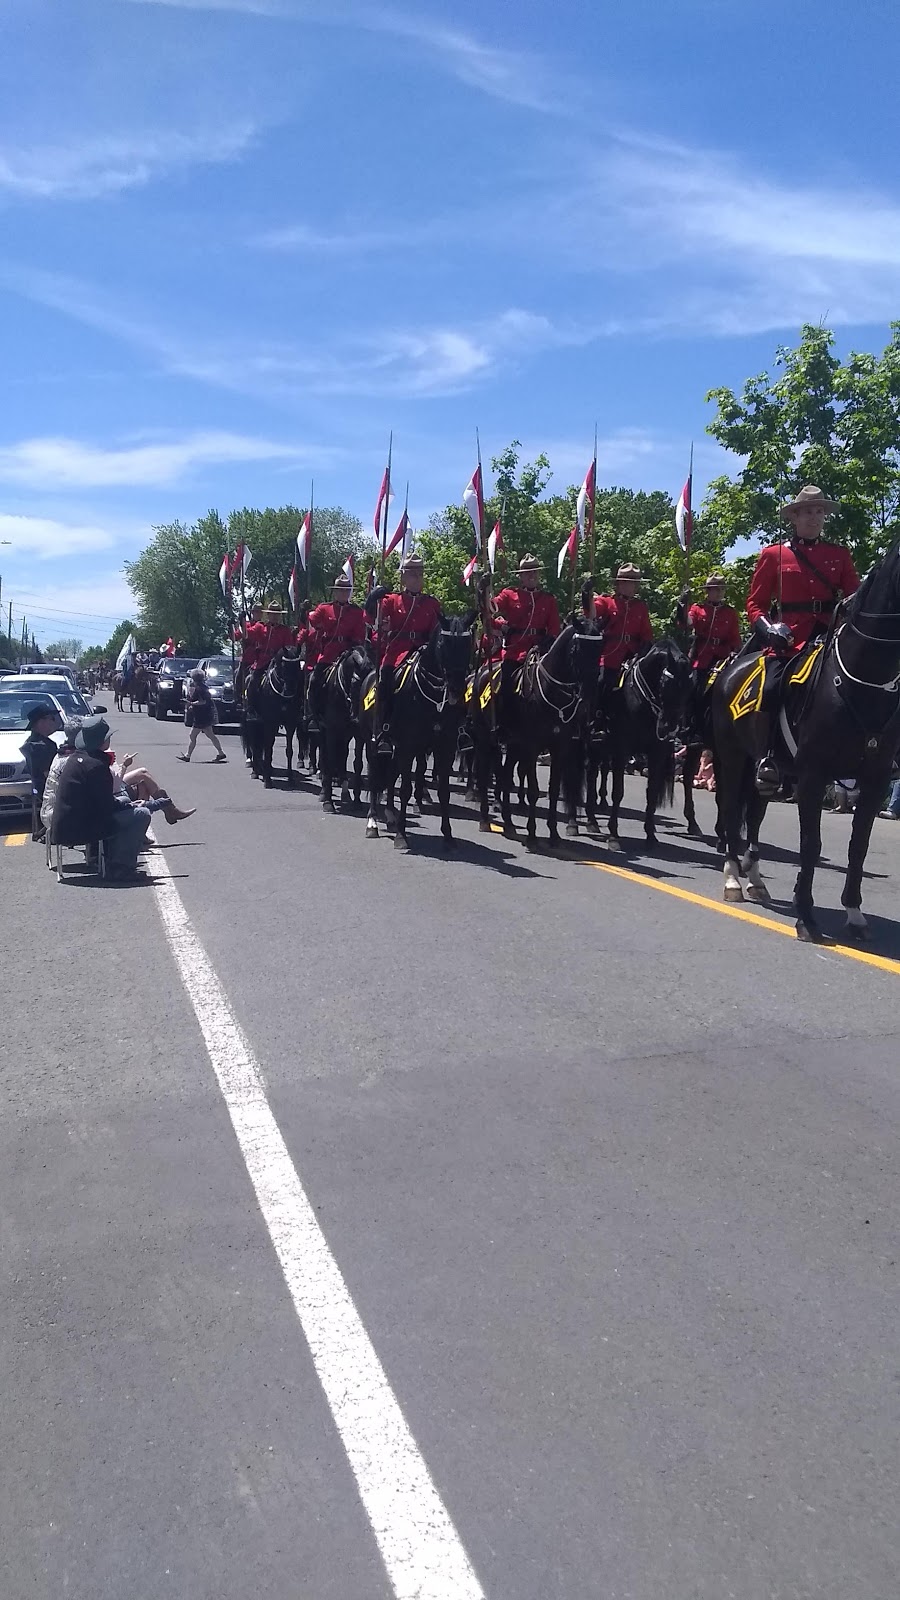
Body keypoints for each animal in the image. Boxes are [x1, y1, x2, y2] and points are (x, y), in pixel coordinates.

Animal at [241, 640, 304, 784]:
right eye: (284, 665)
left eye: (298, 665)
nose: (289, 691)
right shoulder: (270, 722)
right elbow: (268, 747)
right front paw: (267, 779)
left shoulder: (290, 724)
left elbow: (288, 750)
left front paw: (290, 777)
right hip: (253, 722)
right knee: (255, 744)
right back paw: (256, 771)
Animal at [358, 614, 474, 851]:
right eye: (443, 644)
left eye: (468, 644)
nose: (457, 689)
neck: (435, 699)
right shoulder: (408, 747)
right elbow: (405, 789)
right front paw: (402, 836)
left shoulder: (444, 748)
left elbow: (444, 791)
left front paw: (448, 836)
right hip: (372, 743)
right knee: (374, 778)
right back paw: (373, 822)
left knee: (389, 777)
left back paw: (390, 816)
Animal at [470, 617, 602, 851]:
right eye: (577, 648)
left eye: (600, 649)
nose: (589, 692)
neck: (552, 694)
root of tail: (483, 672)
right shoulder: (532, 746)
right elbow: (533, 789)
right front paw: (532, 834)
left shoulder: (559, 747)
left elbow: (553, 790)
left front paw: (553, 834)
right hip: (486, 739)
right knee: (485, 775)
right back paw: (485, 819)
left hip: (513, 745)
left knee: (504, 776)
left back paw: (508, 822)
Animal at [586, 640, 688, 851]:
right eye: (666, 685)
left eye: (688, 689)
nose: (669, 727)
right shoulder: (621, 750)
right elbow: (618, 792)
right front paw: (613, 835)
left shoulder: (656, 754)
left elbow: (651, 793)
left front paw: (650, 835)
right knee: (591, 775)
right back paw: (590, 820)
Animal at [714, 540, 900, 934]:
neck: (866, 680)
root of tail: (731, 667)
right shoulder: (814, 775)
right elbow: (811, 844)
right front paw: (806, 914)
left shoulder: (874, 779)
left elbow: (858, 846)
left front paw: (854, 912)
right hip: (732, 757)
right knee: (731, 811)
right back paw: (733, 878)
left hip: (765, 770)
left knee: (753, 815)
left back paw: (755, 880)